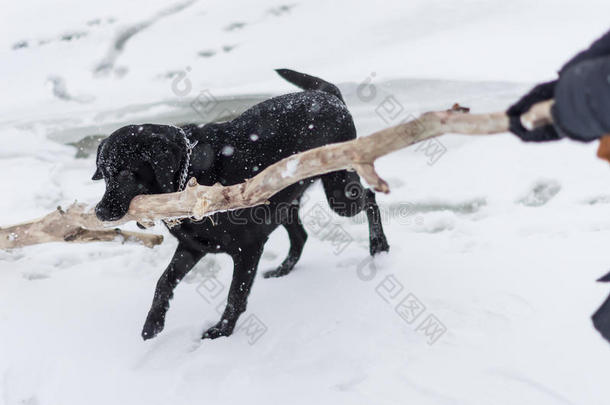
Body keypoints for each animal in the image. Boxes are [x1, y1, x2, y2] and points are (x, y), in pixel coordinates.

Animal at [92, 68, 388, 338]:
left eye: (126, 174)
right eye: (103, 173)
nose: (99, 212)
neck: (190, 176)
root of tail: (329, 95)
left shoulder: (248, 248)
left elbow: (236, 294)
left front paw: (222, 331)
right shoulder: (193, 247)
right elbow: (164, 281)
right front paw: (153, 323)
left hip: (339, 193)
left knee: (370, 197)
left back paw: (379, 247)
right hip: (283, 203)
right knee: (300, 235)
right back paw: (283, 269)